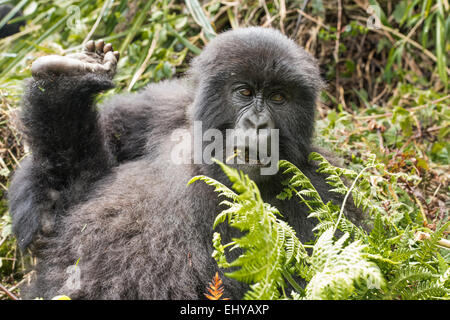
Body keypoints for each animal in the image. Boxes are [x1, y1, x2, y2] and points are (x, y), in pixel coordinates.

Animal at [7, 27, 362, 300]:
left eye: (278, 98)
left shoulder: (323, 193)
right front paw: (65, 87)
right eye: (245, 92)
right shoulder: (163, 107)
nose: (259, 124)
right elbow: (77, 184)